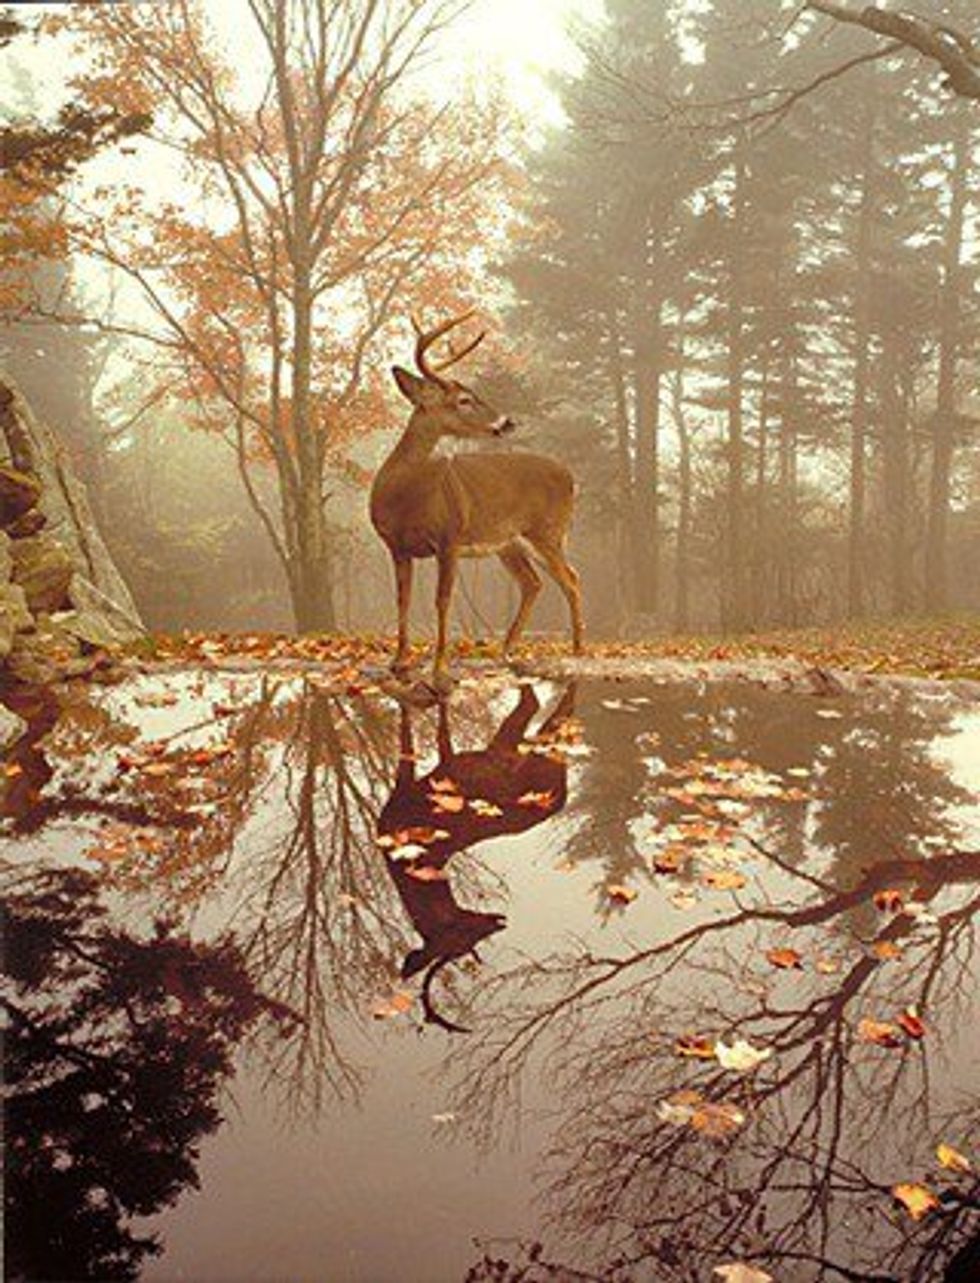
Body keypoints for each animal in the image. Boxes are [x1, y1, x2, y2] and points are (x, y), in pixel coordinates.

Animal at [370, 311, 583, 691]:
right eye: (464, 400)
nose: (507, 422)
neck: (404, 496)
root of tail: (571, 478)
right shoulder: (396, 546)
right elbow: (402, 599)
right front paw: (398, 661)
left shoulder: (449, 536)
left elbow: (442, 600)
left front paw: (439, 669)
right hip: (508, 543)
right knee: (534, 582)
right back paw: (506, 649)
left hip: (547, 532)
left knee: (571, 579)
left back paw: (577, 651)